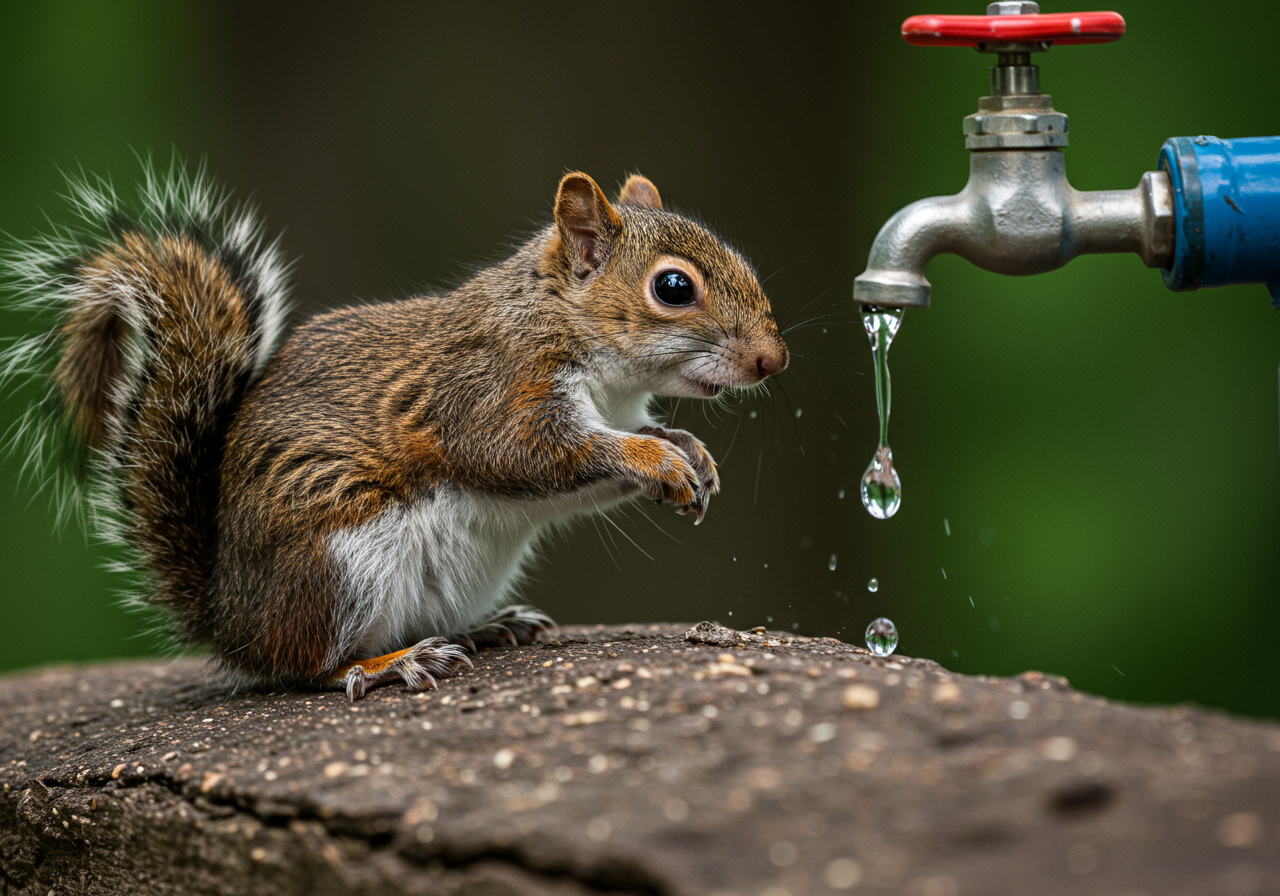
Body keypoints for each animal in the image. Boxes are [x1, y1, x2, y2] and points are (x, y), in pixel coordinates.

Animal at [2, 162, 789, 700]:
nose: (771, 360)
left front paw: (686, 453)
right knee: (309, 666)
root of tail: (231, 616)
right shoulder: (490, 393)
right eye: (673, 288)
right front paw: (656, 458)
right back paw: (390, 662)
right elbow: (534, 452)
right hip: (343, 559)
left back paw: (482, 628)